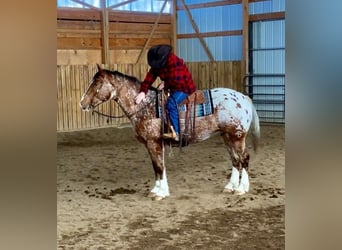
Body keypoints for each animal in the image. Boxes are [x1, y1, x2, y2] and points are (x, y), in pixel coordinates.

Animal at [79, 65, 260, 201]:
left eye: (97, 83)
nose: (82, 103)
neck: (145, 106)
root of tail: (243, 97)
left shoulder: (153, 142)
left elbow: (159, 166)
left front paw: (161, 193)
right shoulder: (154, 144)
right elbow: (158, 166)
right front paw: (157, 189)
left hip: (237, 136)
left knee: (244, 158)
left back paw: (241, 189)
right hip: (226, 136)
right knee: (235, 159)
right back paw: (230, 187)